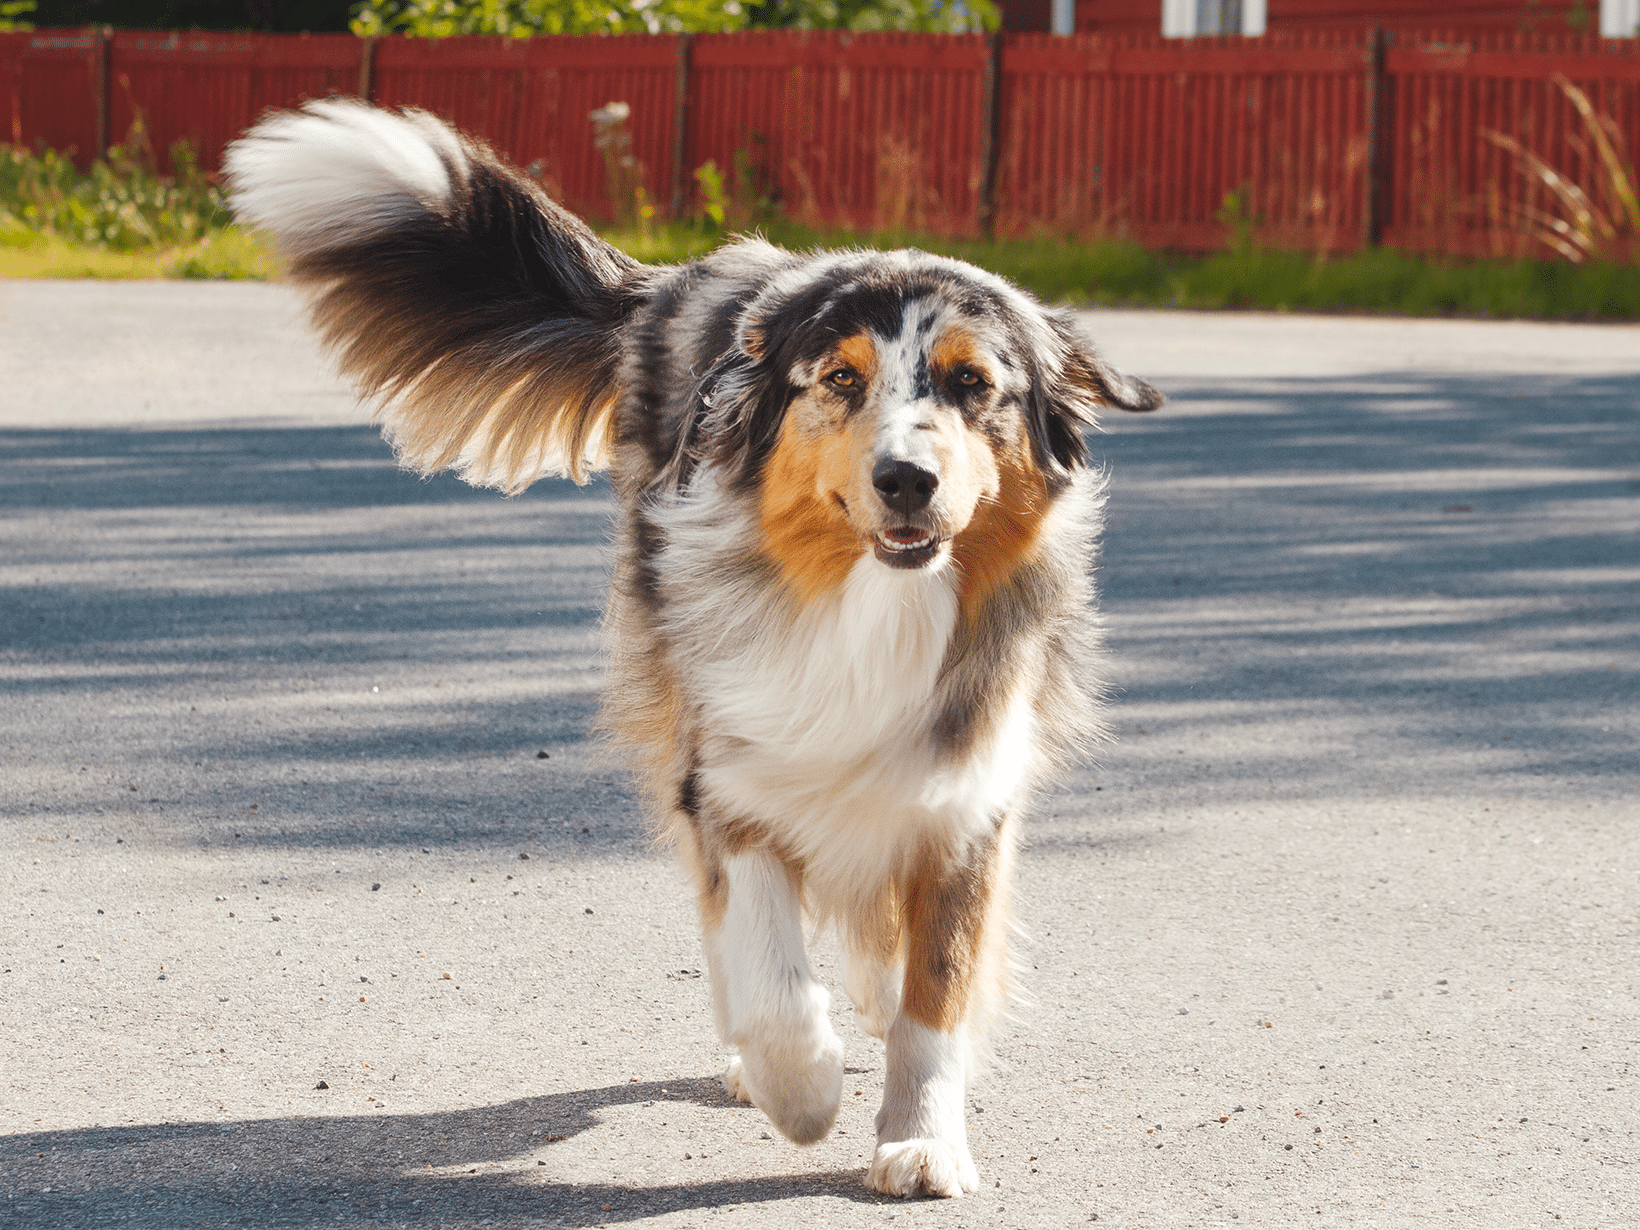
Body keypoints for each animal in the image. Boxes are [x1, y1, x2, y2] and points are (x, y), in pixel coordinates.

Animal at [224, 101, 1161, 1200]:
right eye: (839, 379)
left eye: (974, 384)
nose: (905, 480)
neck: (871, 606)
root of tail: (682, 279)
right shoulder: (730, 770)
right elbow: (768, 970)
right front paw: (798, 1089)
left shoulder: (967, 793)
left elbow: (934, 989)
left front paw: (923, 1138)